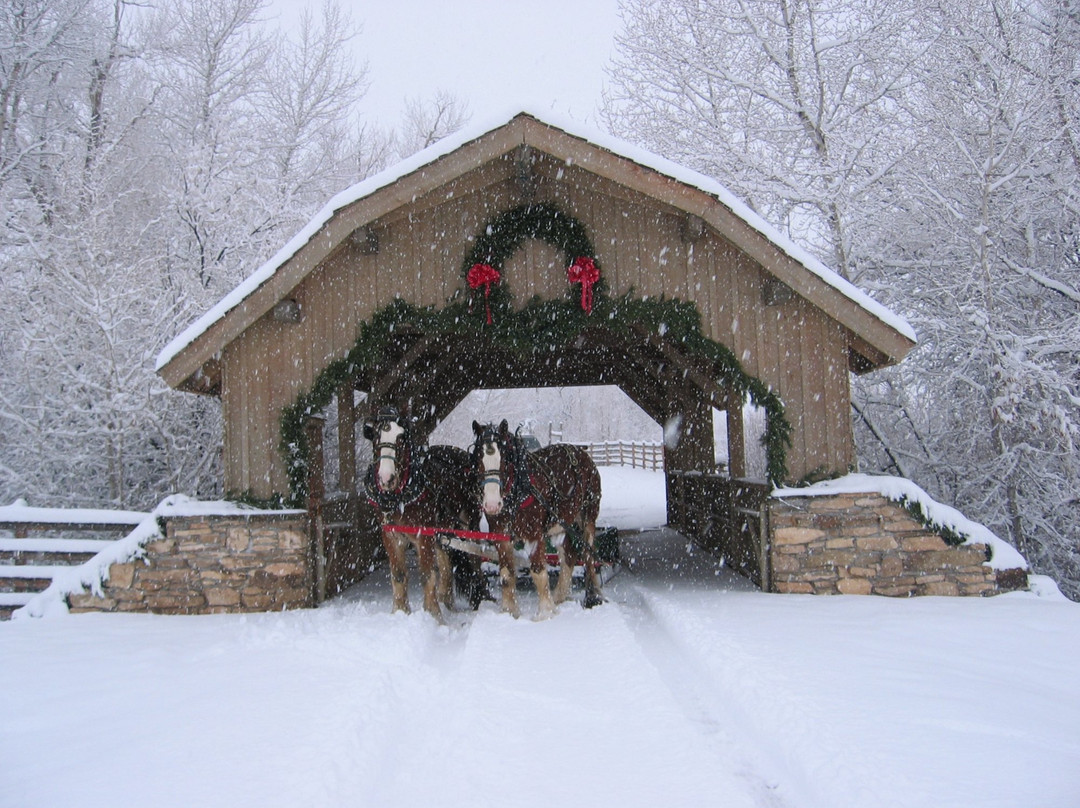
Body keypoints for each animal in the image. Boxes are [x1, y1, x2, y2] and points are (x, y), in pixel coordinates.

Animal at [365, 410, 488, 617]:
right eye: (375, 437)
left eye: (402, 438)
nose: (386, 478)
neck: (400, 496)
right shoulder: (391, 535)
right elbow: (399, 575)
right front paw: (400, 611)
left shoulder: (423, 534)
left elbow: (427, 574)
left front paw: (433, 614)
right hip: (442, 528)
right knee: (446, 560)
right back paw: (447, 601)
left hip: (469, 523)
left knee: (474, 557)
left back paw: (477, 599)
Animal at [473, 416, 609, 617]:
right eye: (478, 458)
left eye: (504, 458)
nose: (491, 504)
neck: (519, 488)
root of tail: (581, 453)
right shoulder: (501, 534)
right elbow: (506, 573)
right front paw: (509, 611)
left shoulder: (533, 534)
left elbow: (538, 572)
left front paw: (545, 613)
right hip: (562, 522)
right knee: (569, 555)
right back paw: (560, 596)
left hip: (588, 517)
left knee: (588, 555)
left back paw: (593, 596)